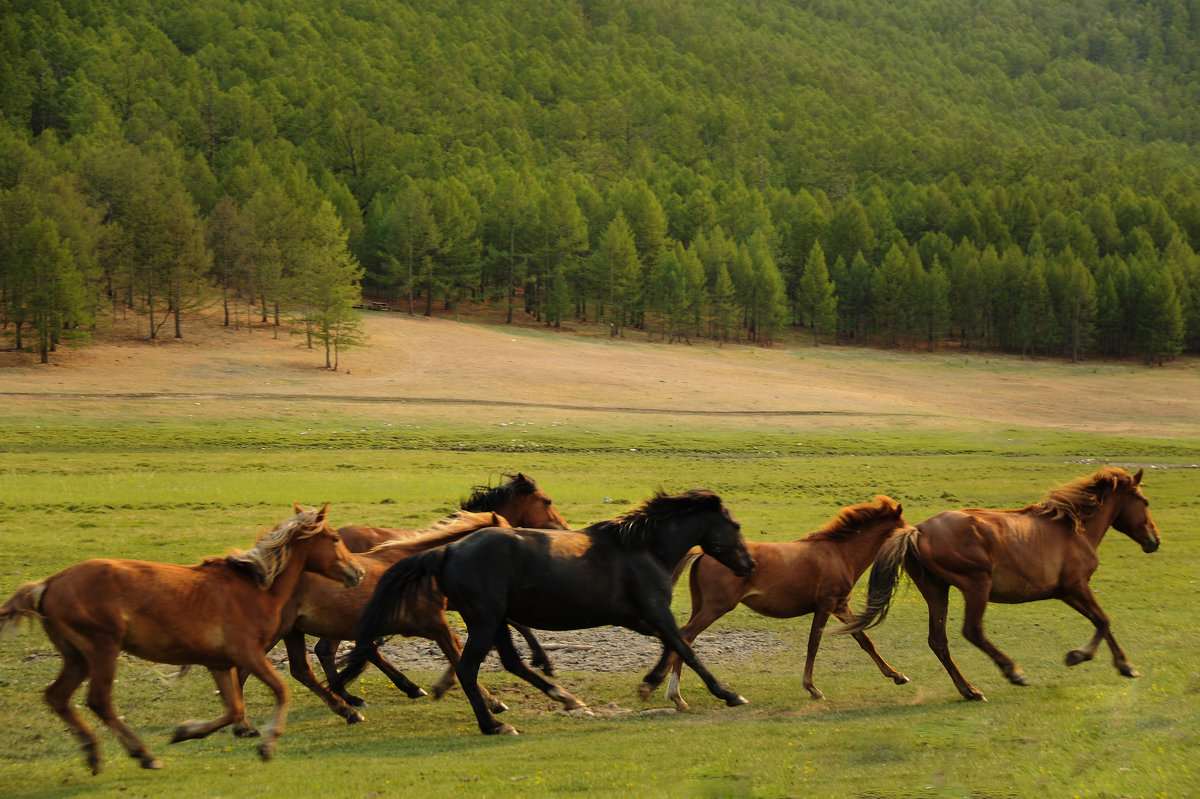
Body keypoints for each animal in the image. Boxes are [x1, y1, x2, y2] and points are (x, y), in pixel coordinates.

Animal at [0, 503, 362, 772]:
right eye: (333, 538)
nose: (357, 572)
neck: (255, 588)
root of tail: (48, 583)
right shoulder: (247, 653)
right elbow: (280, 691)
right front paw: (268, 744)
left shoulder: (220, 663)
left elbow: (233, 708)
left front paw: (185, 731)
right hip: (101, 649)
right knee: (98, 701)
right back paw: (143, 755)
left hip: (76, 657)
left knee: (57, 696)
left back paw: (93, 752)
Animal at [652, 494, 912, 705]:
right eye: (907, 529)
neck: (840, 553)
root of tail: (703, 553)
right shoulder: (825, 605)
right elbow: (814, 644)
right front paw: (812, 688)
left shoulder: (840, 606)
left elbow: (864, 640)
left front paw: (898, 676)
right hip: (715, 608)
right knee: (686, 636)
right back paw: (676, 696)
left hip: (701, 606)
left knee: (686, 638)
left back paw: (676, 695)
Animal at [844, 463, 1161, 700]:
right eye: (1145, 502)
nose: (1154, 541)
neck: (1074, 528)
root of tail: (917, 531)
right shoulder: (1076, 586)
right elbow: (1104, 620)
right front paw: (1083, 657)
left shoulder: (1066, 592)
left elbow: (1100, 622)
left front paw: (1121, 665)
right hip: (976, 586)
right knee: (972, 631)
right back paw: (1013, 673)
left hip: (936, 589)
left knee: (938, 640)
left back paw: (969, 691)